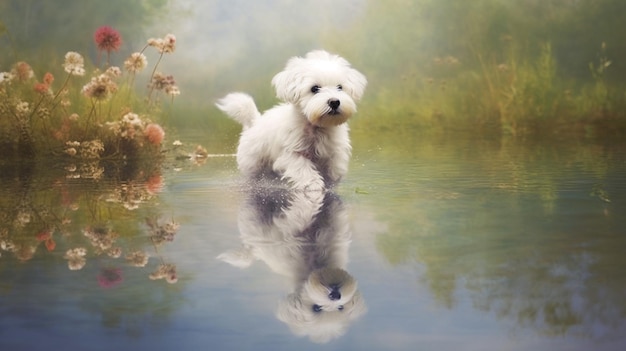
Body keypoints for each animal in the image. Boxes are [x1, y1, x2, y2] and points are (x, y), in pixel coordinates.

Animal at [218, 50, 368, 190]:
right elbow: (302, 169)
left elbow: (335, 168)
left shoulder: (335, 151)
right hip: (252, 162)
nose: (334, 102)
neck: (317, 127)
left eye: (340, 87)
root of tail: (254, 121)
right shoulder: (291, 153)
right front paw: (313, 185)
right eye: (314, 88)